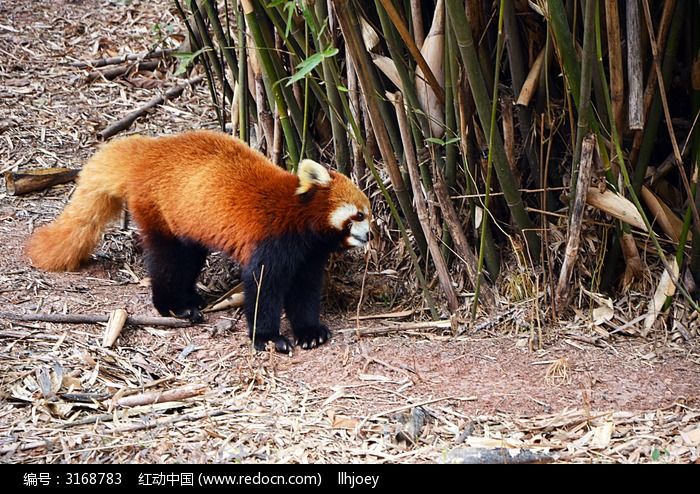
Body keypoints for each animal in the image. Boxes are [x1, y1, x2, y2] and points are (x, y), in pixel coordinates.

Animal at [26, 131, 372, 354]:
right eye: (358, 215)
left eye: (369, 215)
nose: (368, 234)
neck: (300, 219)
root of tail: (147, 154)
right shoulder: (273, 239)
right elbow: (263, 286)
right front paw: (267, 337)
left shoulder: (309, 255)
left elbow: (304, 291)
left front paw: (309, 332)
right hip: (160, 211)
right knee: (167, 261)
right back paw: (174, 306)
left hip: (189, 220)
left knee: (189, 258)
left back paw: (191, 297)